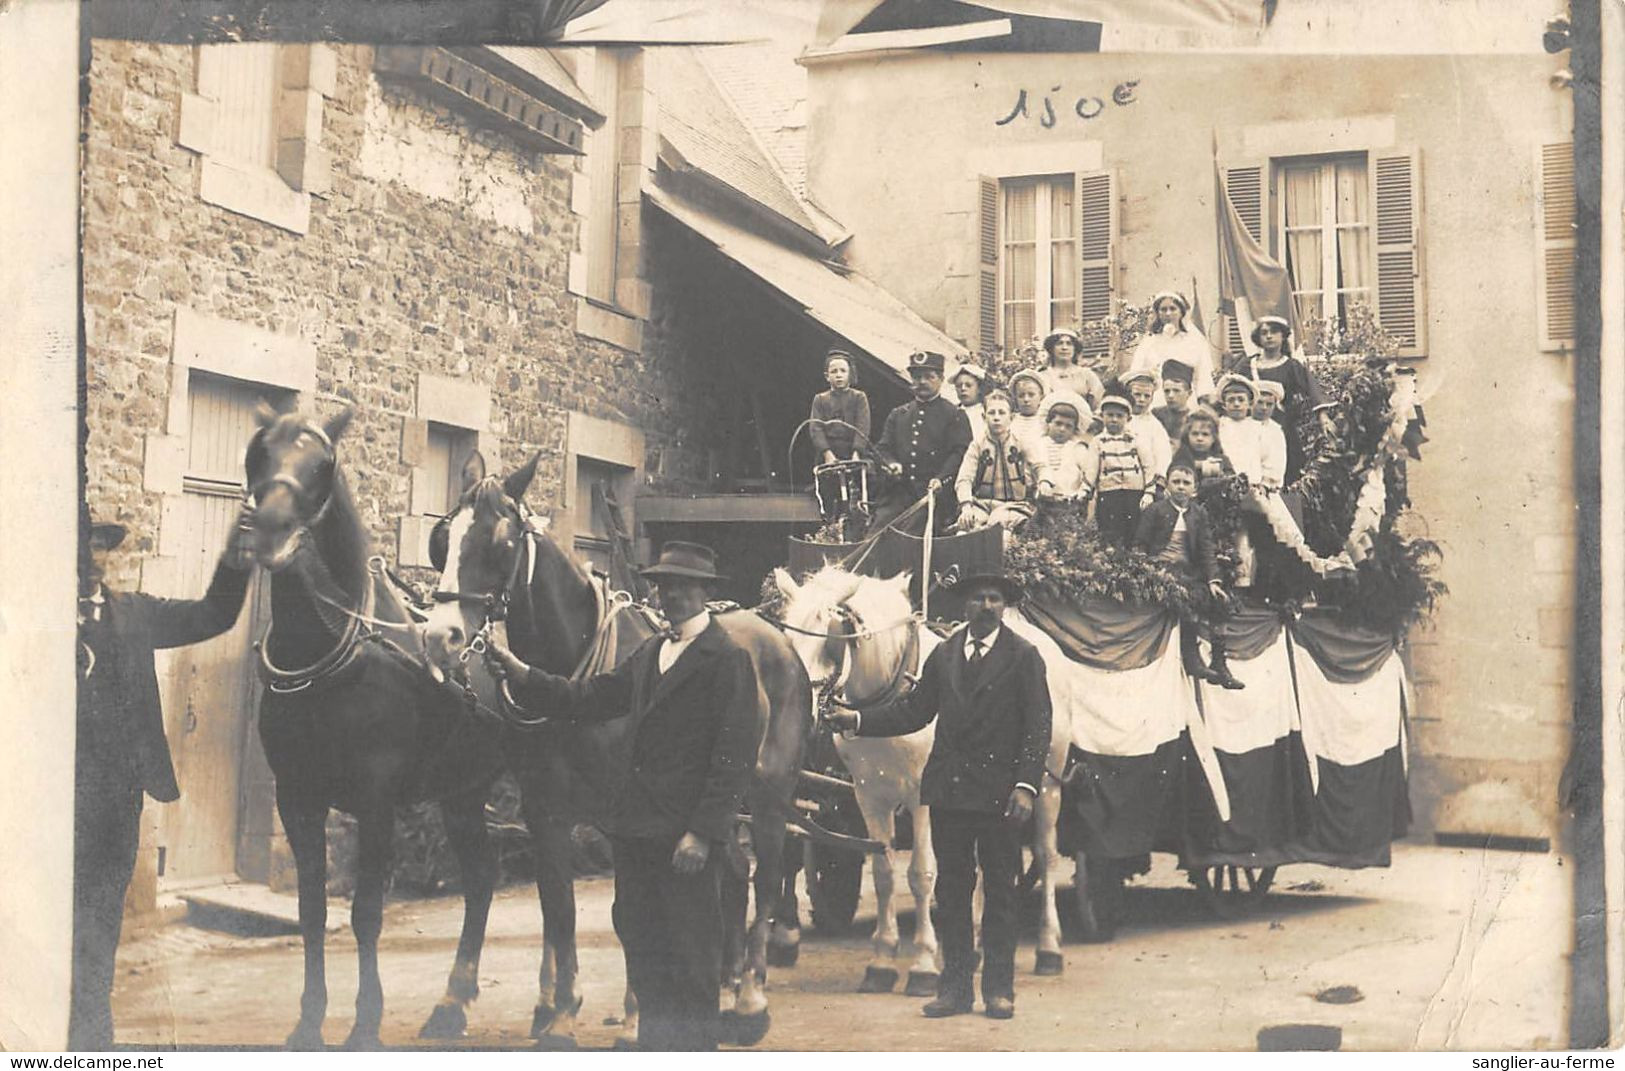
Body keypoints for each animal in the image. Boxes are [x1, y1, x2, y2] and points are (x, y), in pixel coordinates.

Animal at [243, 406, 520, 1053]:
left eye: (322, 465)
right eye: (258, 452)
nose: (269, 529)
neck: (330, 656)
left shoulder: (375, 802)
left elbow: (366, 911)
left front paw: (365, 1023)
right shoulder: (298, 798)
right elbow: (312, 910)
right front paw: (308, 1023)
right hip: (463, 793)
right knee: (481, 878)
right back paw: (453, 1003)